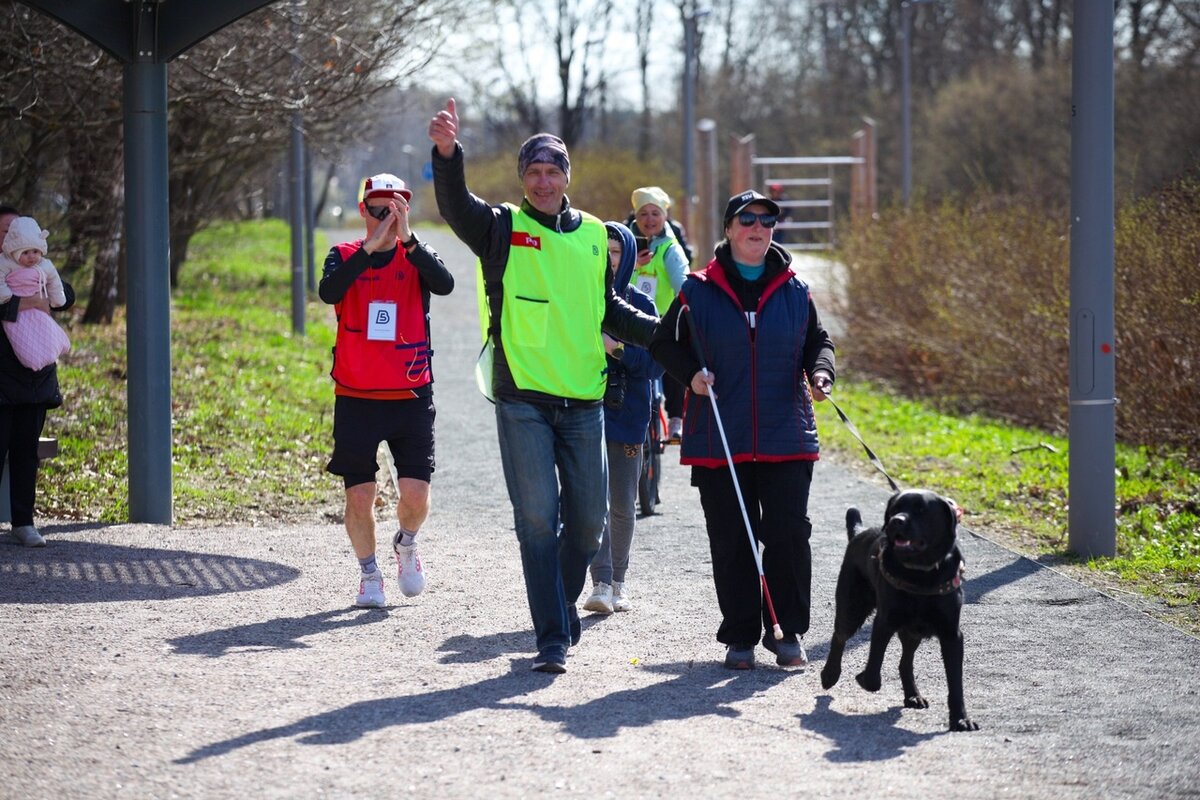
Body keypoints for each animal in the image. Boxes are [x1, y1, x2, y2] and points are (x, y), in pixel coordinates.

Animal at [820, 489, 979, 734]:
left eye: (922, 510)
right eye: (895, 509)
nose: (896, 521)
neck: (921, 574)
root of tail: (860, 532)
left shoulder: (952, 635)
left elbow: (955, 683)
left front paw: (961, 719)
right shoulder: (884, 621)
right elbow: (874, 667)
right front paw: (864, 678)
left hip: (913, 632)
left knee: (905, 663)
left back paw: (913, 695)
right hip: (852, 608)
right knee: (839, 636)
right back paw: (830, 674)